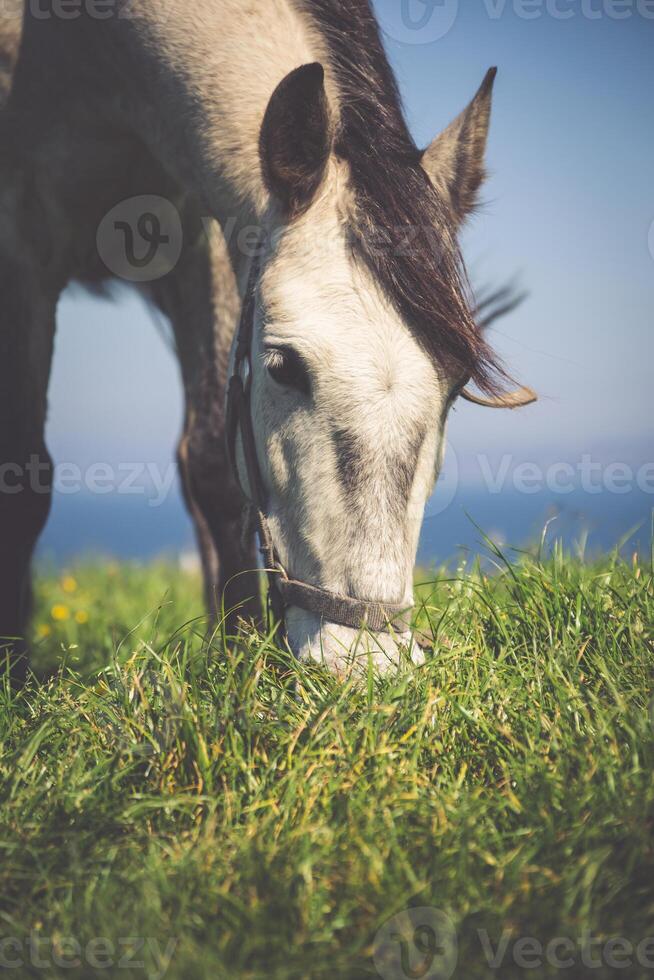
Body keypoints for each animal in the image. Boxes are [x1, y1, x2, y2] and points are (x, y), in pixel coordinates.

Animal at [0, 0, 536, 680]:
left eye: (456, 384)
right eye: (283, 367)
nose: (364, 664)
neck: (89, 50)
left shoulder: (200, 231)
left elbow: (212, 464)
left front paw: (236, 654)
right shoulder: (19, 236)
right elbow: (23, 477)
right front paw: (14, 677)